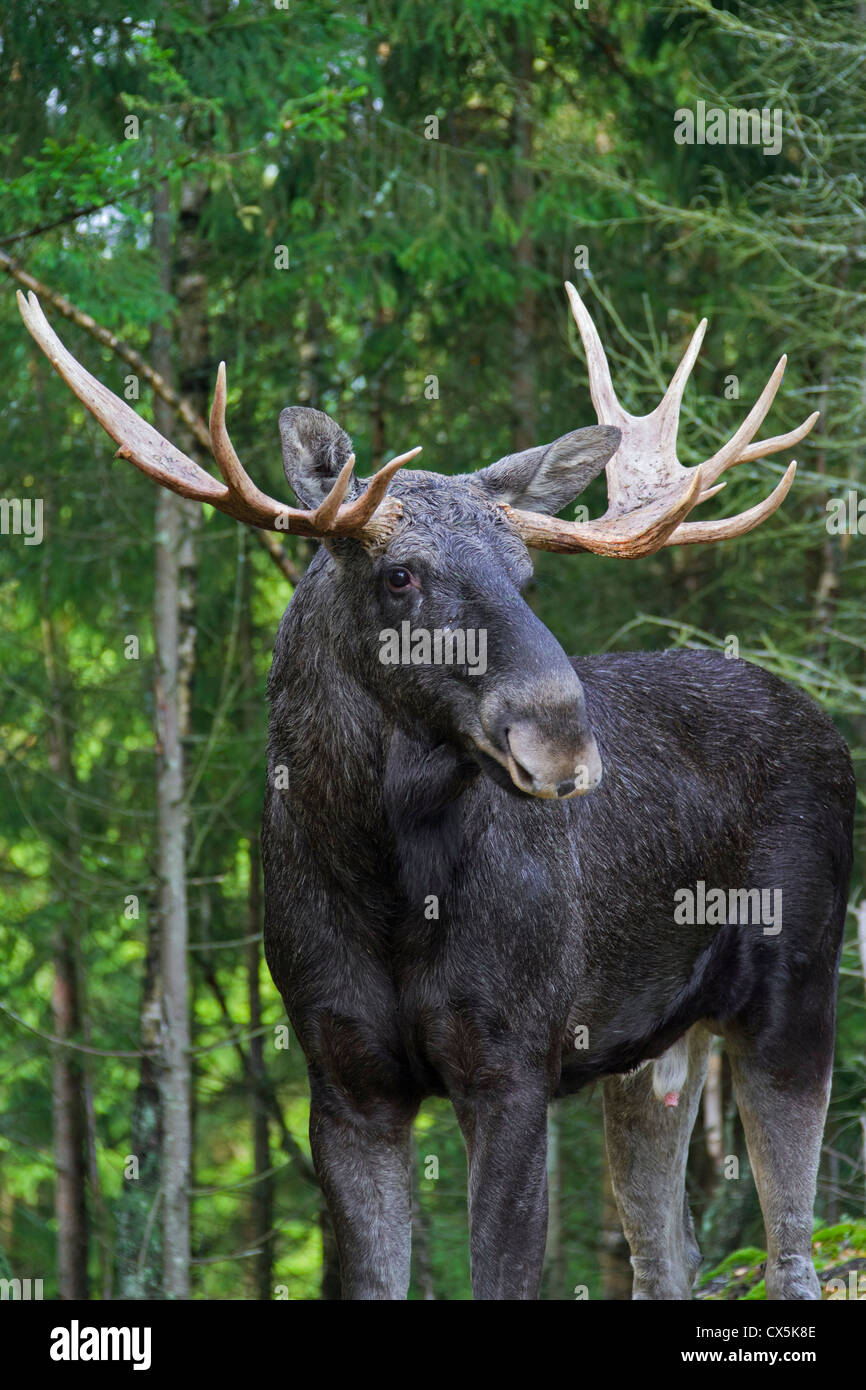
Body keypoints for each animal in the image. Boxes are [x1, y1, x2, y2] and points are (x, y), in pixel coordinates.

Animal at [18, 282, 856, 1301]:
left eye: (527, 575)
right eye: (399, 575)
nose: (561, 736)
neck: (386, 885)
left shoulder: (513, 1064)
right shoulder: (344, 1079)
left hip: (797, 991)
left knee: (791, 1246)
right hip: (652, 1047)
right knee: (671, 1253)